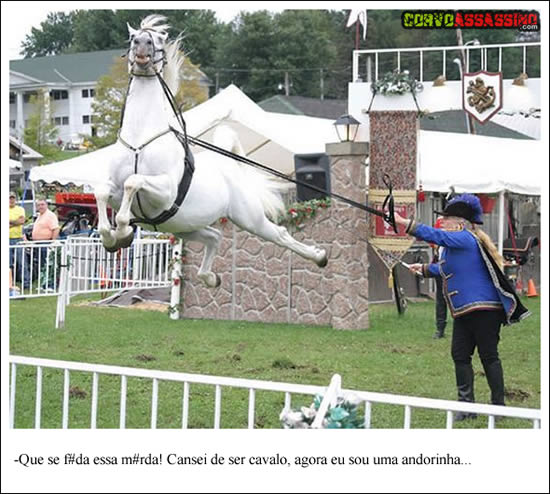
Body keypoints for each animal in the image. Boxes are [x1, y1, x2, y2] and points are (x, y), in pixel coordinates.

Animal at [94, 15, 328, 288]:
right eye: (133, 37)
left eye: (159, 38)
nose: (142, 45)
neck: (139, 142)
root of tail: (228, 166)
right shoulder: (115, 191)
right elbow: (101, 192)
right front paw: (113, 238)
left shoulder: (165, 192)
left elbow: (133, 182)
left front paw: (123, 231)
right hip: (184, 225)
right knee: (214, 236)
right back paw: (210, 277)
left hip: (248, 218)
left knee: (278, 234)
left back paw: (320, 256)